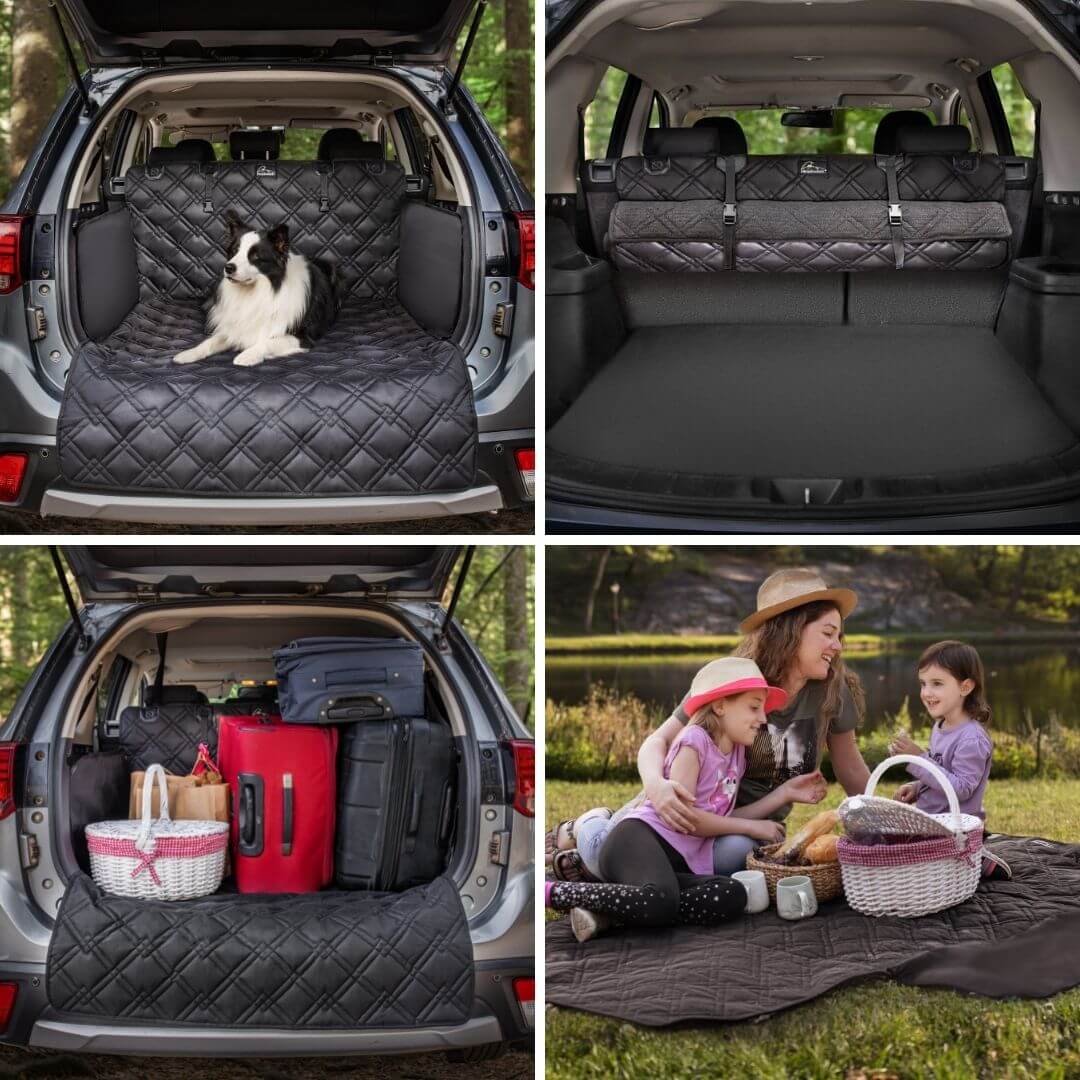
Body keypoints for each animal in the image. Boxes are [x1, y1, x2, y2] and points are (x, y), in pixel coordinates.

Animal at [172, 208, 341, 369]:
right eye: (234, 251)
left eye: (255, 257)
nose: (228, 268)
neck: (255, 291)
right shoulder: (235, 327)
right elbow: (211, 341)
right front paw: (189, 353)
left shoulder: (302, 337)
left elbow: (268, 342)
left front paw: (247, 355)